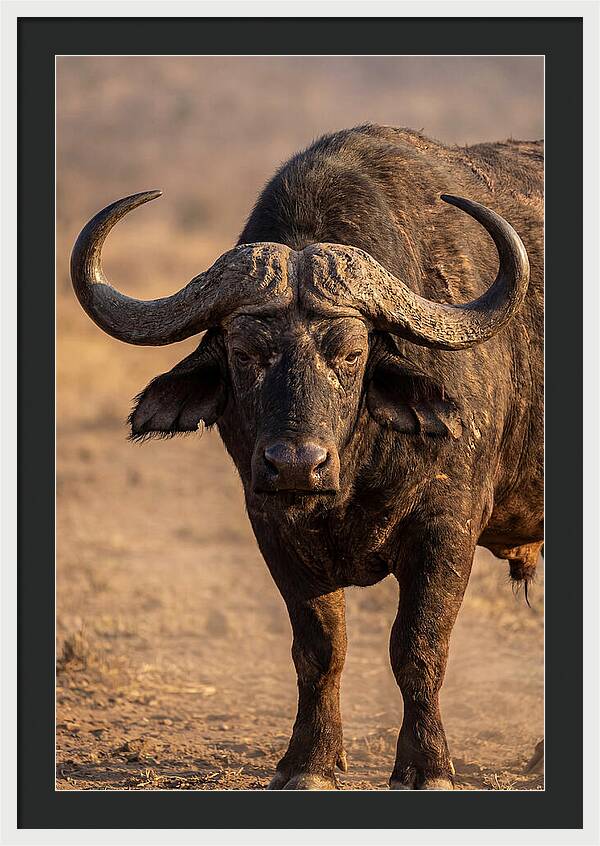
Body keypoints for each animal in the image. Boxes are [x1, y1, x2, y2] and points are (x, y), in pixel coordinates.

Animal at [71, 124, 543, 790]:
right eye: (245, 351)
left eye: (350, 352)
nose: (295, 464)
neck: (353, 472)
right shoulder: (272, 528)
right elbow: (320, 650)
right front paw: (310, 763)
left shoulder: (446, 529)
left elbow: (419, 648)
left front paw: (428, 766)